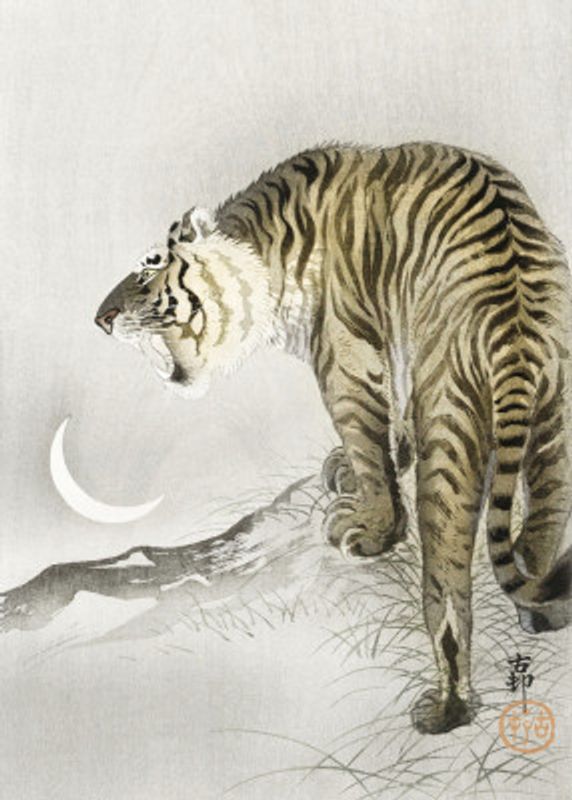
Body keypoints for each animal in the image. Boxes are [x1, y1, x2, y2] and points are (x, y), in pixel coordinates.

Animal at [95, 142, 572, 734]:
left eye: (149, 270)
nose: (101, 318)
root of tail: (516, 327)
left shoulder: (344, 357)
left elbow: (367, 439)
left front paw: (371, 527)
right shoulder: (395, 343)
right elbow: (391, 421)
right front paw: (364, 464)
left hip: (451, 428)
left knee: (447, 590)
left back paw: (446, 708)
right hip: (555, 422)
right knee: (543, 525)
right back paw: (543, 610)